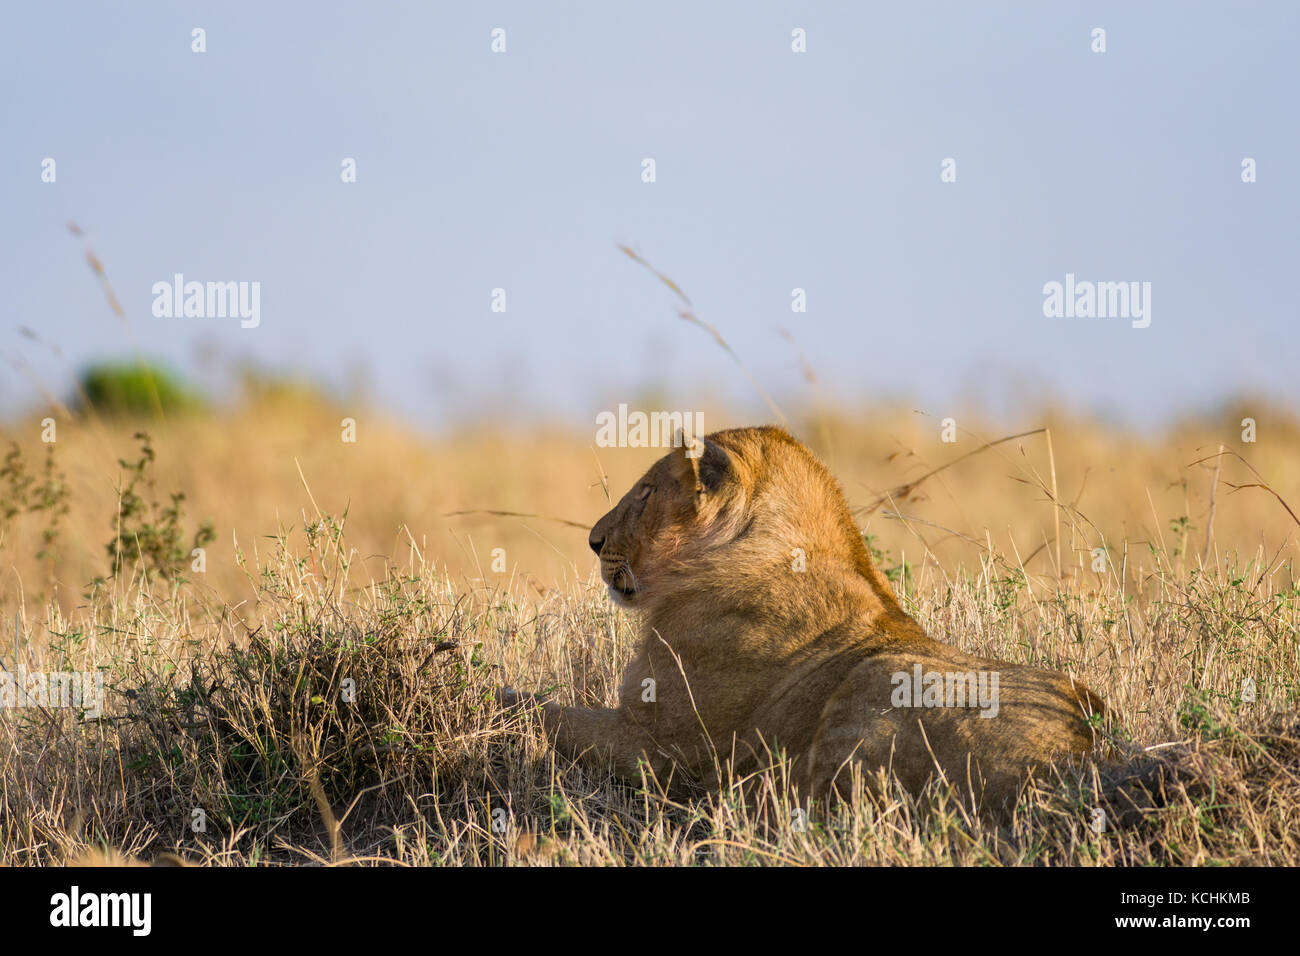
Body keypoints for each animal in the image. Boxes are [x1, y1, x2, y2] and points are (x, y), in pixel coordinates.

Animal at [502, 425, 1105, 814]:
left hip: (881, 678)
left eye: (647, 492)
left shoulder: (660, 751)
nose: (593, 540)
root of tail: (1080, 755)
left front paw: (490, 694)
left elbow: (540, 711)